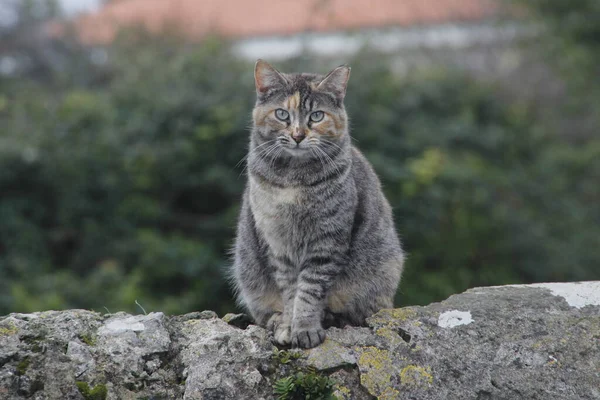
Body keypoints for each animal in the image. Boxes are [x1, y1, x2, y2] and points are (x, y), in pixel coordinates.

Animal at [232, 58, 406, 346]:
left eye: (316, 116)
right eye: (282, 114)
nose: (298, 135)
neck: (293, 179)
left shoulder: (327, 240)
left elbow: (308, 292)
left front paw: (305, 329)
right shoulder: (278, 244)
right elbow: (291, 292)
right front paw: (288, 326)